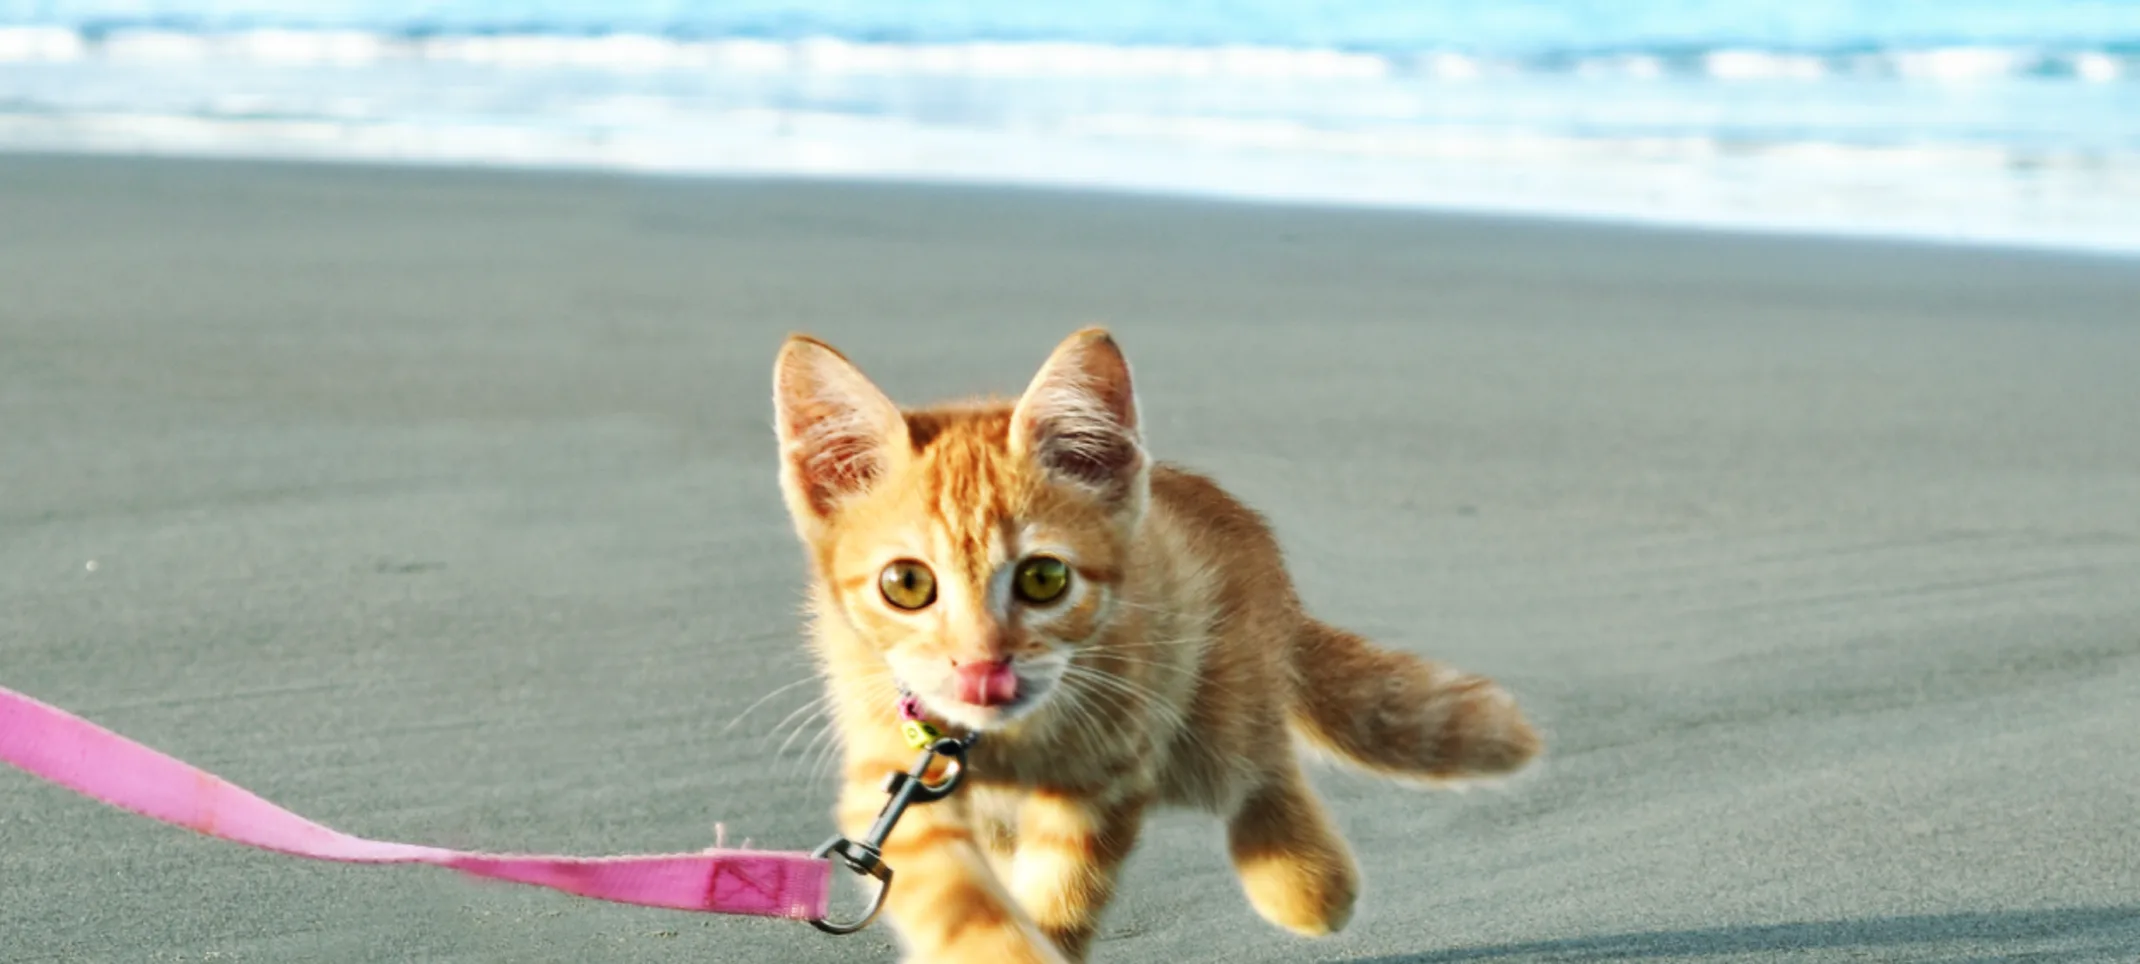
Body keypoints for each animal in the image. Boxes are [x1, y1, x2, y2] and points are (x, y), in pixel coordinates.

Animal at [774, 327, 1540, 959]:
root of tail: (1246, 532)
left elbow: (1065, 888)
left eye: (1044, 578)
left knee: (1261, 766)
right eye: (906, 584)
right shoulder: (889, 771)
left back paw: (1307, 880)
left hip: (1215, 711)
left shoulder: (1106, 773)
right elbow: (953, 896)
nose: (982, 667)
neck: (1002, 741)